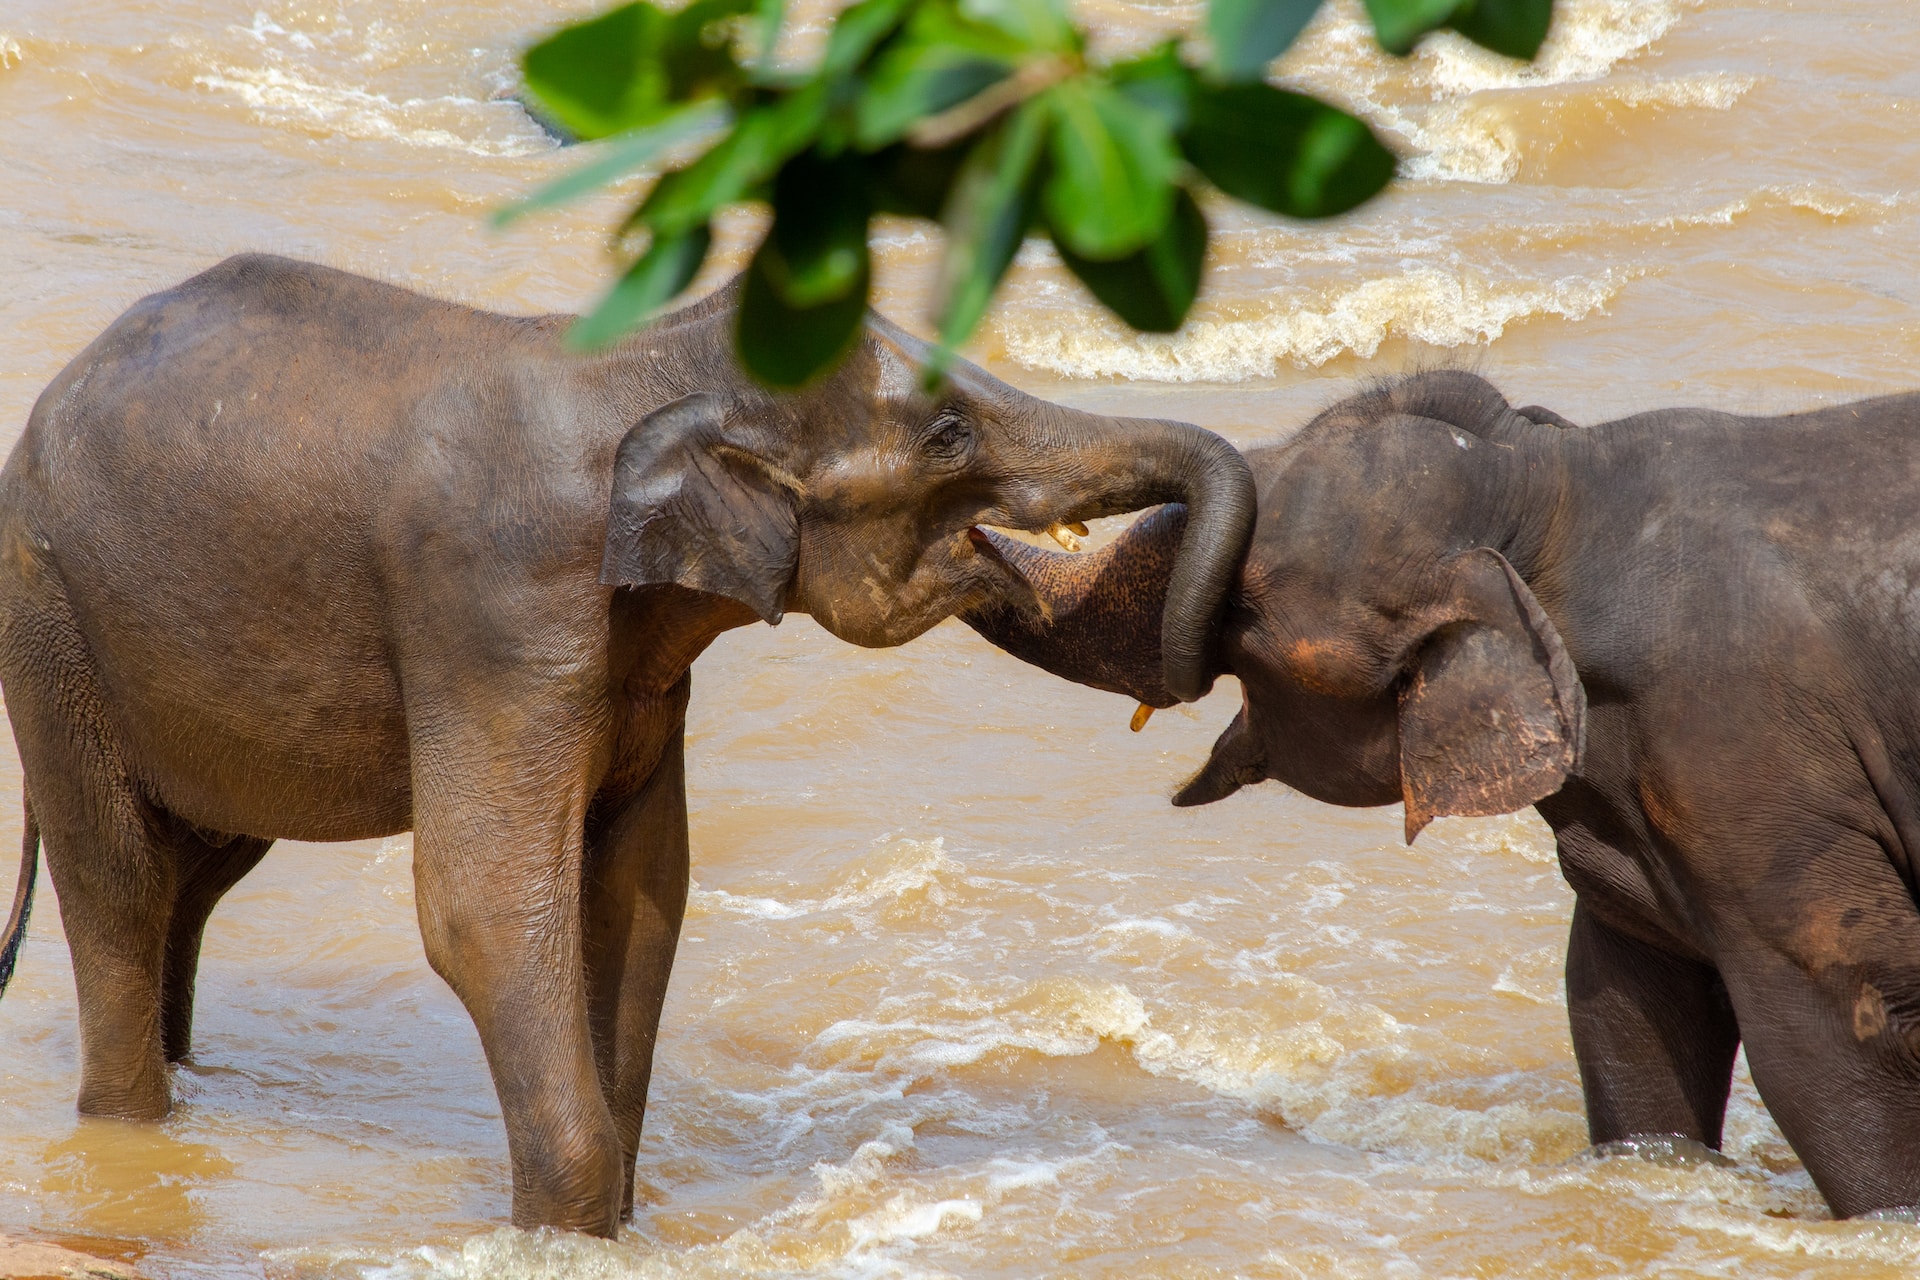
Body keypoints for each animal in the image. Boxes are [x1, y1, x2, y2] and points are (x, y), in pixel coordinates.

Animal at [0, 255, 1259, 1235]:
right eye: (948, 433)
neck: (660, 363)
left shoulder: (647, 666)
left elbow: (644, 888)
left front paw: (612, 1221)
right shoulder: (497, 612)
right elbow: (484, 906)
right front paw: (567, 1225)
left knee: (200, 871)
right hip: (51, 623)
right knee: (118, 880)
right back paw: (133, 1117)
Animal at [967, 368, 1920, 1220]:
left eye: (1244, 609)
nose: (959, 529)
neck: (1550, 484)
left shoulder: (1752, 770)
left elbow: (1830, 1044)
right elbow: (1623, 1013)